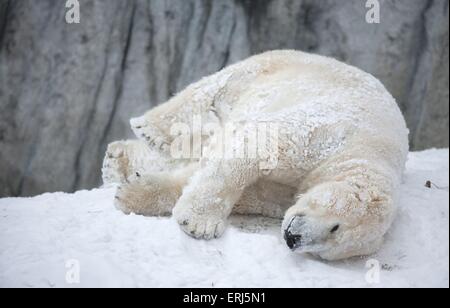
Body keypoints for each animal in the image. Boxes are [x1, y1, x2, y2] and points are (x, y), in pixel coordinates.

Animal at [103, 50, 412, 260]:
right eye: (336, 227)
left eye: (326, 250)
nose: (293, 238)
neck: (369, 150)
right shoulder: (329, 134)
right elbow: (255, 147)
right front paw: (198, 224)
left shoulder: (288, 193)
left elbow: (255, 192)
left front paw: (134, 192)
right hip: (268, 70)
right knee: (206, 94)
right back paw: (149, 132)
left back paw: (119, 159)